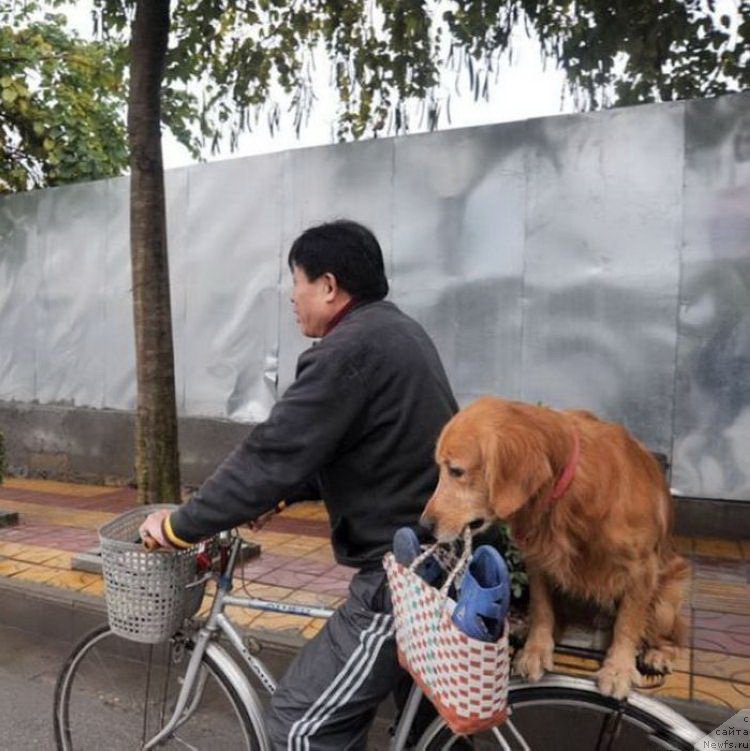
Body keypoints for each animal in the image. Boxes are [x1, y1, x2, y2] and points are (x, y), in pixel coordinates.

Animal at [420, 400, 692, 700]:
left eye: (456, 471)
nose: (424, 526)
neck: (565, 491)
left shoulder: (642, 568)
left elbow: (628, 621)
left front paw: (618, 669)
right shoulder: (538, 558)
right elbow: (542, 608)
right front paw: (536, 650)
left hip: (667, 601)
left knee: (672, 632)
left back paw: (659, 653)